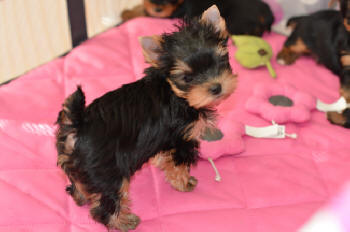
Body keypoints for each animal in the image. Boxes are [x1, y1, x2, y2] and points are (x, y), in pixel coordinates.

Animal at [56, 5, 237, 230]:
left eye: (220, 61)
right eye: (187, 78)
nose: (216, 87)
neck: (176, 94)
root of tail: (77, 126)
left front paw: (160, 162)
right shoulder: (182, 137)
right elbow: (178, 164)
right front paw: (184, 182)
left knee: (79, 184)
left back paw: (80, 197)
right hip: (108, 171)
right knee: (107, 200)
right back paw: (123, 221)